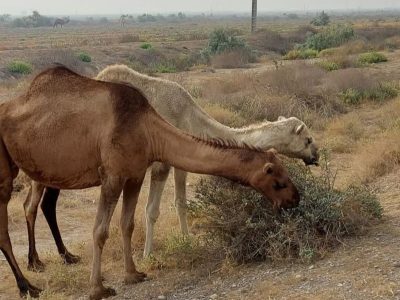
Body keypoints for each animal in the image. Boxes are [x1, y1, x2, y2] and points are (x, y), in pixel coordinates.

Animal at [0, 66, 300, 300]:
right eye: (278, 179)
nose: (295, 199)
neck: (148, 130)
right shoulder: (112, 176)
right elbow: (100, 231)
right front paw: (98, 288)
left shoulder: (134, 174)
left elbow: (128, 224)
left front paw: (133, 274)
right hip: (7, 173)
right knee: (16, 219)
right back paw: (28, 285)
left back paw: (48, 263)